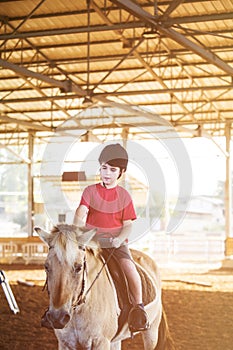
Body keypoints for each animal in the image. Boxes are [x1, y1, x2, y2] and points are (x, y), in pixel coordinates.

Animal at [35, 224, 175, 350]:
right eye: (46, 266)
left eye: (79, 267)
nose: (57, 318)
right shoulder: (65, 343)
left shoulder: (101, 342)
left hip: (151, 333)